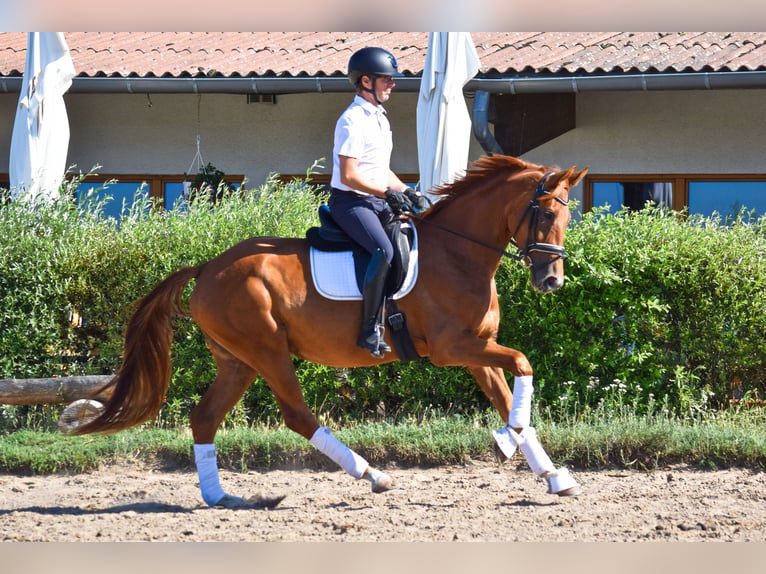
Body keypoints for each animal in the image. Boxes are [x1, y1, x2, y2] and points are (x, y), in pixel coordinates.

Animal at [70, 154, 588, 508]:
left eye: (567, 216)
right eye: (546, 214)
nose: (552, 281)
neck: (458, 252)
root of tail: (207, 269)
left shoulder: (478, 348)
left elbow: (508, 389)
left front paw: (552, 475)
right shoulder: (453, 347)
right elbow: (523, 363)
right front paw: (510, 435)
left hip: (237, 361)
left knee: (204, 419)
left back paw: (221, 497)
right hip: (267, 350)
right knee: (297, 415)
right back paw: (372, 475)